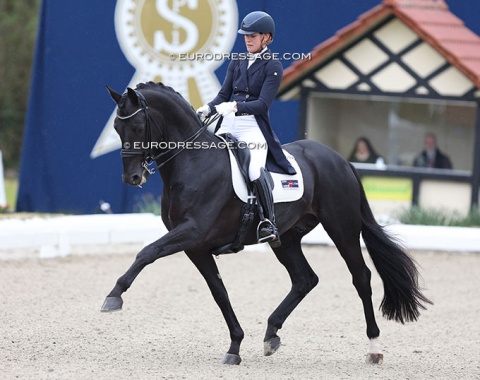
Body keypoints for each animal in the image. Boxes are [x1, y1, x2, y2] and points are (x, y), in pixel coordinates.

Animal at [101, 82, 432, 366]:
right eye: (116, 128)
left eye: (138, 127)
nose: (132, 178)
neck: (193, 163)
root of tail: (339, 159)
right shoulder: (196, 246)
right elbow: (219, 292)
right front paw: (235, 347)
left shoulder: (192, 232)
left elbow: (146, 252)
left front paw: (113, 296)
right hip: (286, 238)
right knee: (305, 279)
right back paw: (271, 334)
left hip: (342, 229)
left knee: (361, 277)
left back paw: (374, 348)